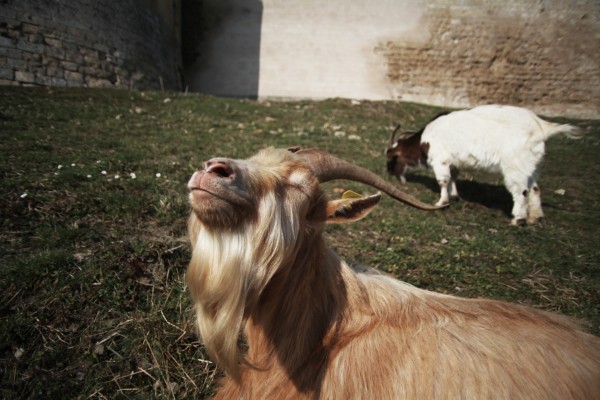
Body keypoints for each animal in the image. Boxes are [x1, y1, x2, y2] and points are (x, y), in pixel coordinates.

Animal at [384, 104, 580, 225]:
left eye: (392, 158)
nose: (390, 173)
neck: (423, 140)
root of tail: (541, 127)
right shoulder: (454, 162)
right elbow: (454, 177)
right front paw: (455, 195)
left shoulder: (440, 158)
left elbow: (443, 181)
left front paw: (441, 201)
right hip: (533, 166)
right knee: (535, 189)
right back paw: (535, 218)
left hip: (515, 166)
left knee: (521, 191)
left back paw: (518, 219)